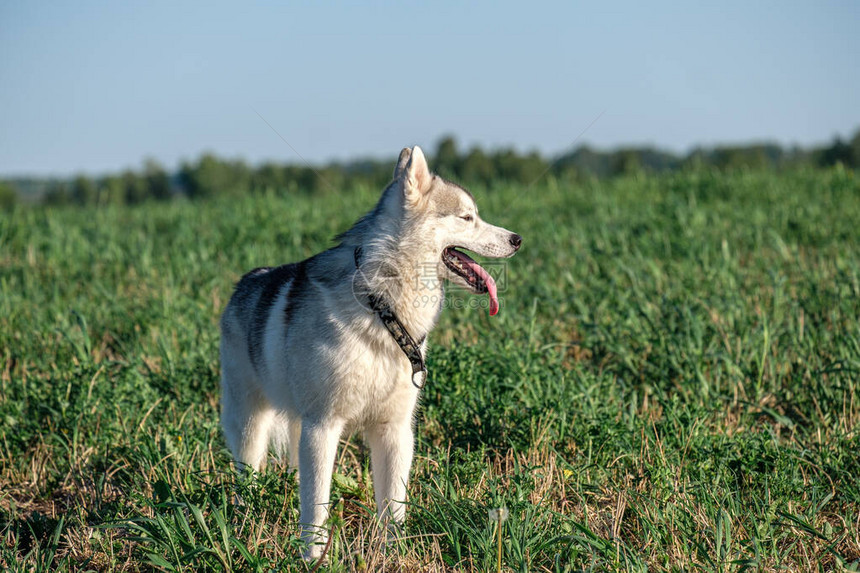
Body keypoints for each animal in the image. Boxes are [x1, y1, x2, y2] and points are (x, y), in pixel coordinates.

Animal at [218, 144, 520, 560]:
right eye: (467, 217)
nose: (517, 239)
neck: (382, 308)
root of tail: (244, 283)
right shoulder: (322, 426)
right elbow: (317, 503)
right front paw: (314, 558)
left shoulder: (394, 430)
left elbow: (393, 505)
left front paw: (393, 553)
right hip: (250, 427)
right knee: (246, 483)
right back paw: (244, 524)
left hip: (295, 423)